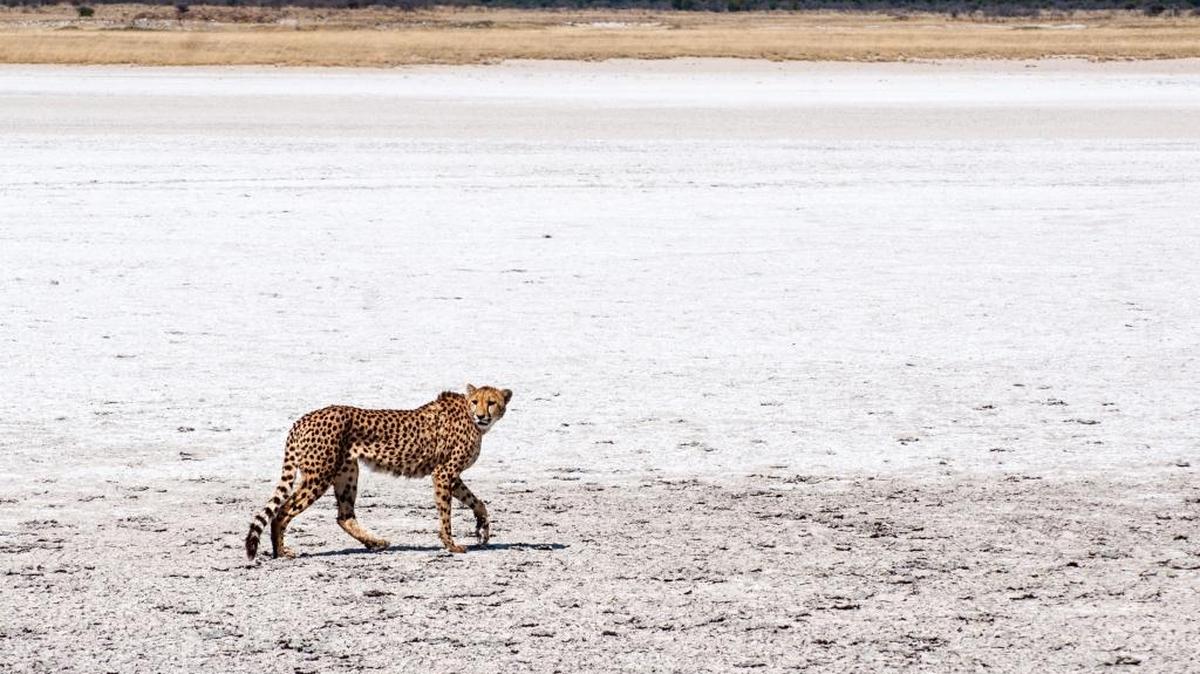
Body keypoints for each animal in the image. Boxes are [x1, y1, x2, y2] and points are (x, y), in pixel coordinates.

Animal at [244, 383, 512, 559]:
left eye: (491, 402)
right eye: (475, 401)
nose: (481, 416)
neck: (472, 420)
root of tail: (302, 419)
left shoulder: (451, 476)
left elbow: (478, 502)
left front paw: (482, 530)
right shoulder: (444, 473)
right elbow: (446, 514)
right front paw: (450, 544)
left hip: (347, 472)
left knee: (344, 516)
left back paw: (376, 542)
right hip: (319, 476)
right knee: (283, 511)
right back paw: (281, 551)